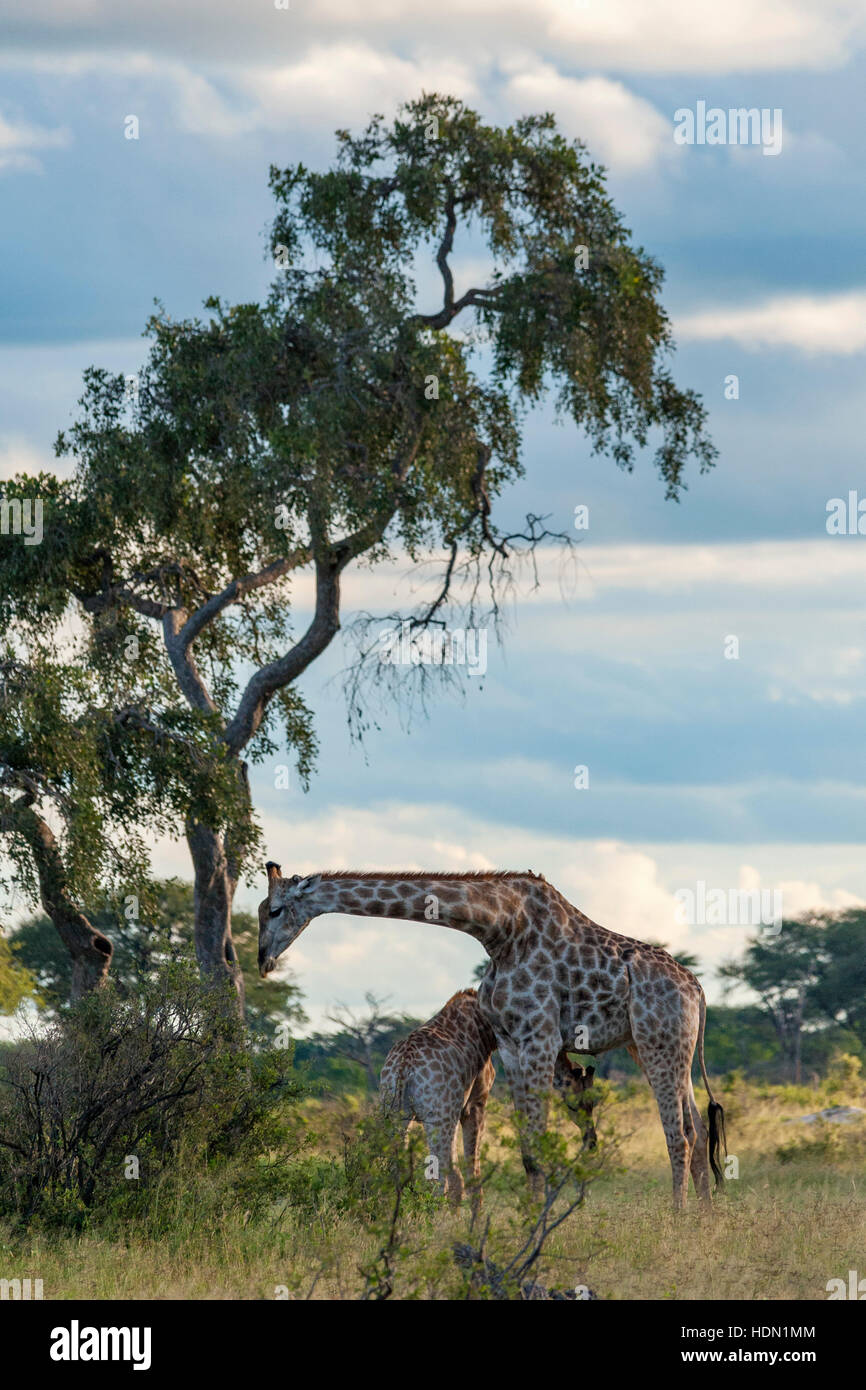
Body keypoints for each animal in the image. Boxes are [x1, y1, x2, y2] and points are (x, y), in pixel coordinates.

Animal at [258, 864, 726, 1209]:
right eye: (262, 910)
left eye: (275, 910)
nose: (263, 959)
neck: (498, 930)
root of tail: (698, 990)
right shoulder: (510, 1044)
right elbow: (527, 1154)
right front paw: (532, 1219)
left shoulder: (539, 1038)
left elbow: (535, 1148)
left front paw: (539, 1227)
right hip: (658, 1047)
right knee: (699, 1127)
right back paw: (704, 1218)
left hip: (659, 1042)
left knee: (679, 1135)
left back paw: (677, 1218)